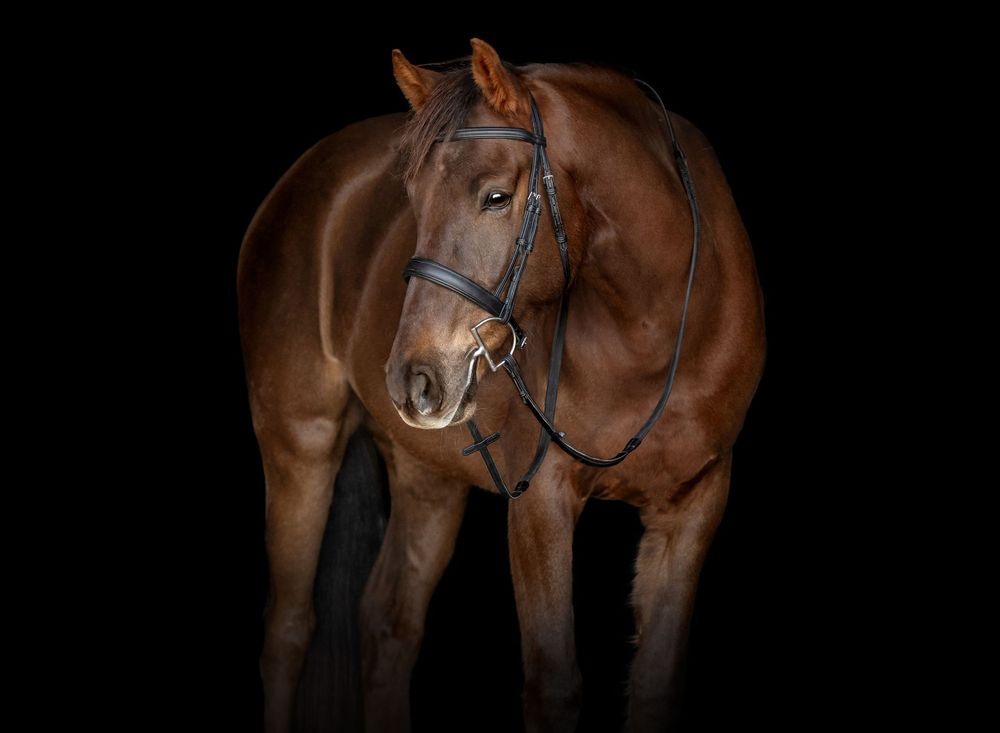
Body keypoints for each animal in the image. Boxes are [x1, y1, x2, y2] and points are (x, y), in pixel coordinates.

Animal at [238, 38, 765, 732]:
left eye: (494, 197)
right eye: (411, 195)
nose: (412, 377)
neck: (654, 322)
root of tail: (302, 174)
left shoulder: (694, 503)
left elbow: (655, 684)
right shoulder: (540, 501)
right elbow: (554, 685)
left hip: (427, 474)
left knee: (387, 623)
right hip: (300, 441)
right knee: (289, 630)